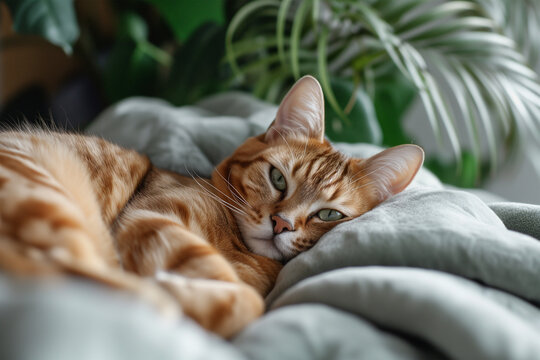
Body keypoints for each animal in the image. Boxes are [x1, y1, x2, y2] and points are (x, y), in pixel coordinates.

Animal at [0, 76, 424, 338]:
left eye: (329, 215)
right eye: (278, 178)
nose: (281, 224)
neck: (237, 249)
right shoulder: (152, 218)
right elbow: (249, 304)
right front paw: (174, 288)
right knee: (64, 270)